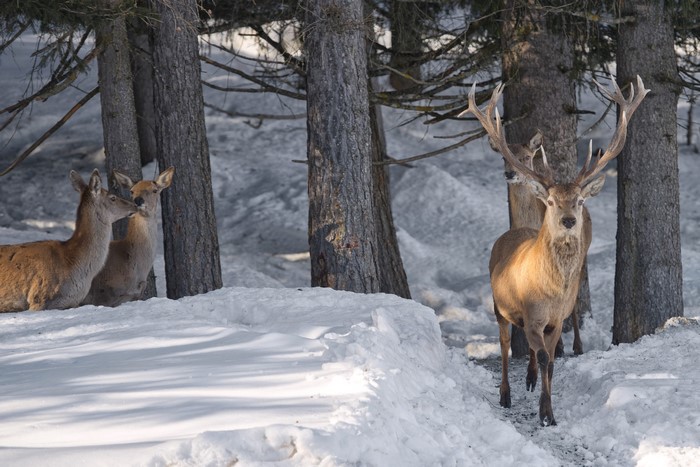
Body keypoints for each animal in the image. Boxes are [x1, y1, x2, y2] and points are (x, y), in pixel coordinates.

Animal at [464, 75, 649, 426]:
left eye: (579, 199)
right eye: (550, 201)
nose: (568, 220)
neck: (551, 291)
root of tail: (512, 232)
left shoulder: (553, 321)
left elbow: (549, 360)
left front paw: (548, 412)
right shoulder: (533, 316)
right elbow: (537, 353)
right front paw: (541, 409)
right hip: (497, 306)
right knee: (505, 344)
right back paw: (506, 394)